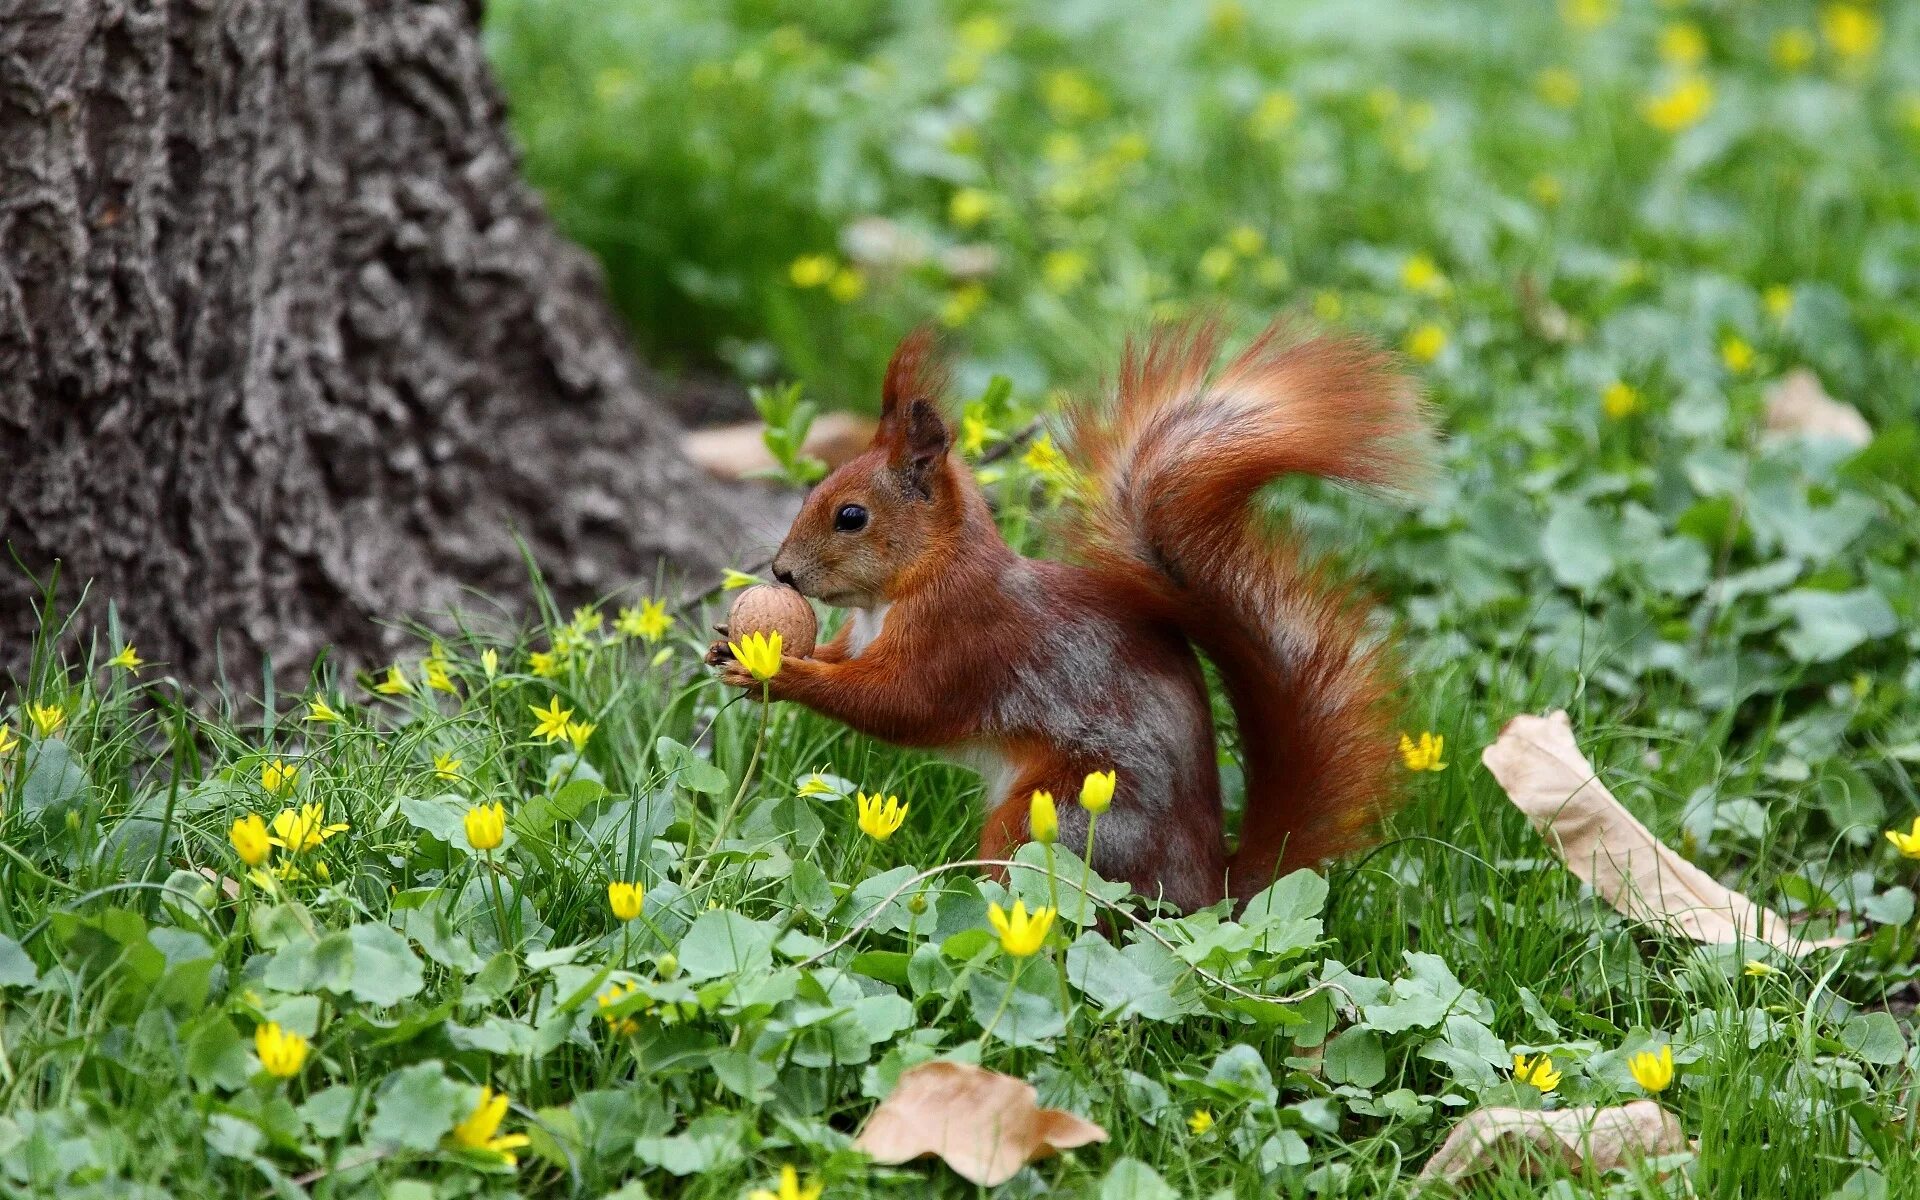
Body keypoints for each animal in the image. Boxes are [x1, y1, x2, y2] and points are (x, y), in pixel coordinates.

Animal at [714, 318, 1436, 906]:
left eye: (851, 516)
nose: (781, 572)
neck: (908, 586)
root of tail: (1209, 889)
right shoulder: (861, 637)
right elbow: (840, 659)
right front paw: (732, 646)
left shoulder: (962, 641)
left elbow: (898, 705)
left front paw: (782, 674)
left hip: (1056, 819)